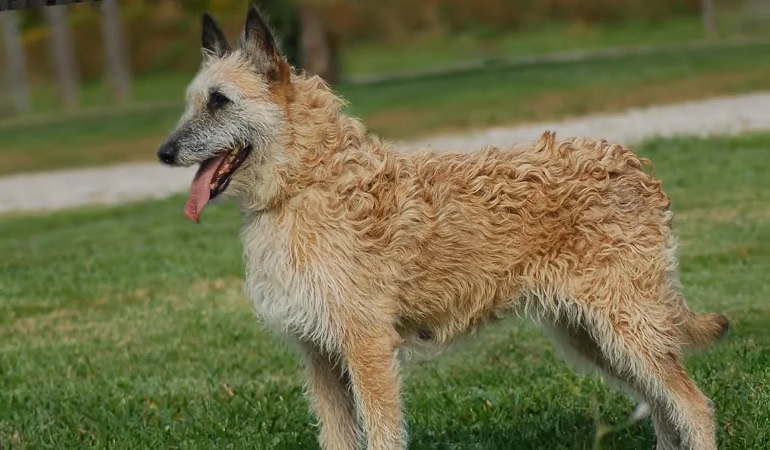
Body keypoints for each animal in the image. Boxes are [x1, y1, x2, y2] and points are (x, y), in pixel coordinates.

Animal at [154, 6, 728, 450]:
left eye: (220, 101)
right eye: (191, 102)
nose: (163, 152)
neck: (306, 180)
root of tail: (633, 165)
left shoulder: (366, 349)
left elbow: (383, 434)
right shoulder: (318, 355)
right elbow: (337, 436)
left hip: (626, 328)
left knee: (693, 405)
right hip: (594, 335)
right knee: (663, 405)